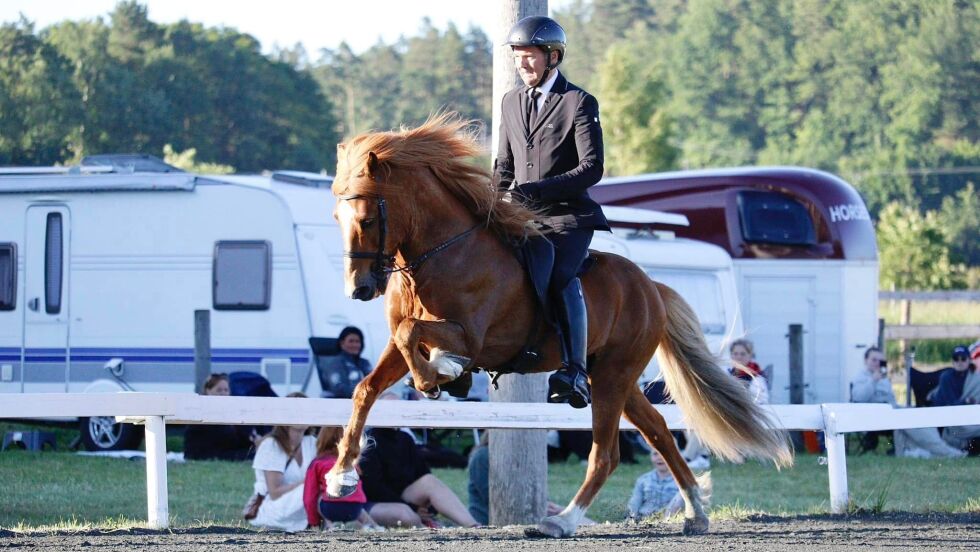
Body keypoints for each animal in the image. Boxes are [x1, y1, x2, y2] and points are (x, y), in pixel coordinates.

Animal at [326, 114, 792, 536]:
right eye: (336, 219)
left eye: (367, 219)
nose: (358, 289)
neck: (443, 254)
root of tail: (651, 287)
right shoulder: (398, 345)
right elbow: (367, 386)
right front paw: (342, 476)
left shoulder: (470, 337)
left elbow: (417, 338)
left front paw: (441, 373)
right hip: (616, 378)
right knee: (659, 431)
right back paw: (695, 512)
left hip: (613, 377)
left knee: (606, 454)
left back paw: (562, 521)